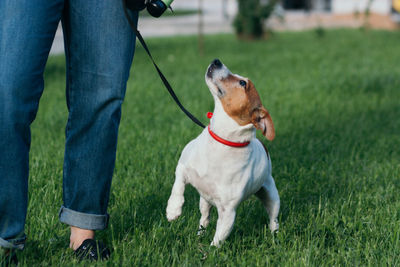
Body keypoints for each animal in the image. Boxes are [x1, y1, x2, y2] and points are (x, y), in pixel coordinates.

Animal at [165, 59, 278, 247]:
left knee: (273, 219)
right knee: (204, 219)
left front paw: (208, 251)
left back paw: (275, 237)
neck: (223, 140)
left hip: (272, 196)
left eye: (242, 83)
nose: (216, 61)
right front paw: (173, 209)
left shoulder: (228, 212)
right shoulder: (183, 166)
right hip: (204, 201)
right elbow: (178, 185)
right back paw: (199, 234)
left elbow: (217, 240)